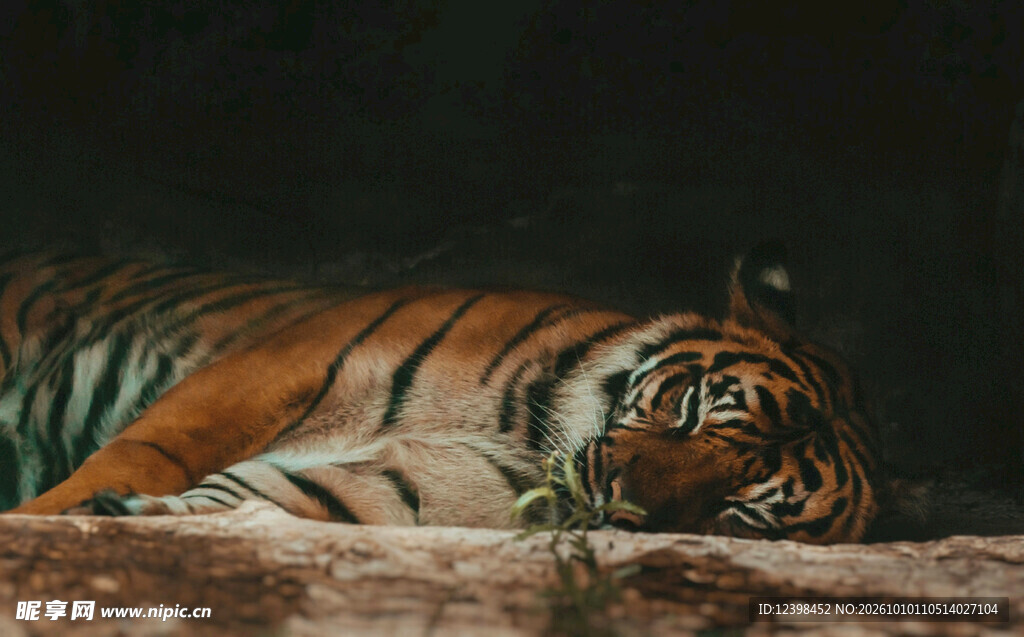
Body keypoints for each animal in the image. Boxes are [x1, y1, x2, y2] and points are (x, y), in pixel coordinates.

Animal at [0, 244, 880, 543]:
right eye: (694, 409)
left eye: (743, 515)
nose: (618, 503)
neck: (520, 440)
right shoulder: (265, 372)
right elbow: (145, 453)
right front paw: (45, 519)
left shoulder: (383, 486)